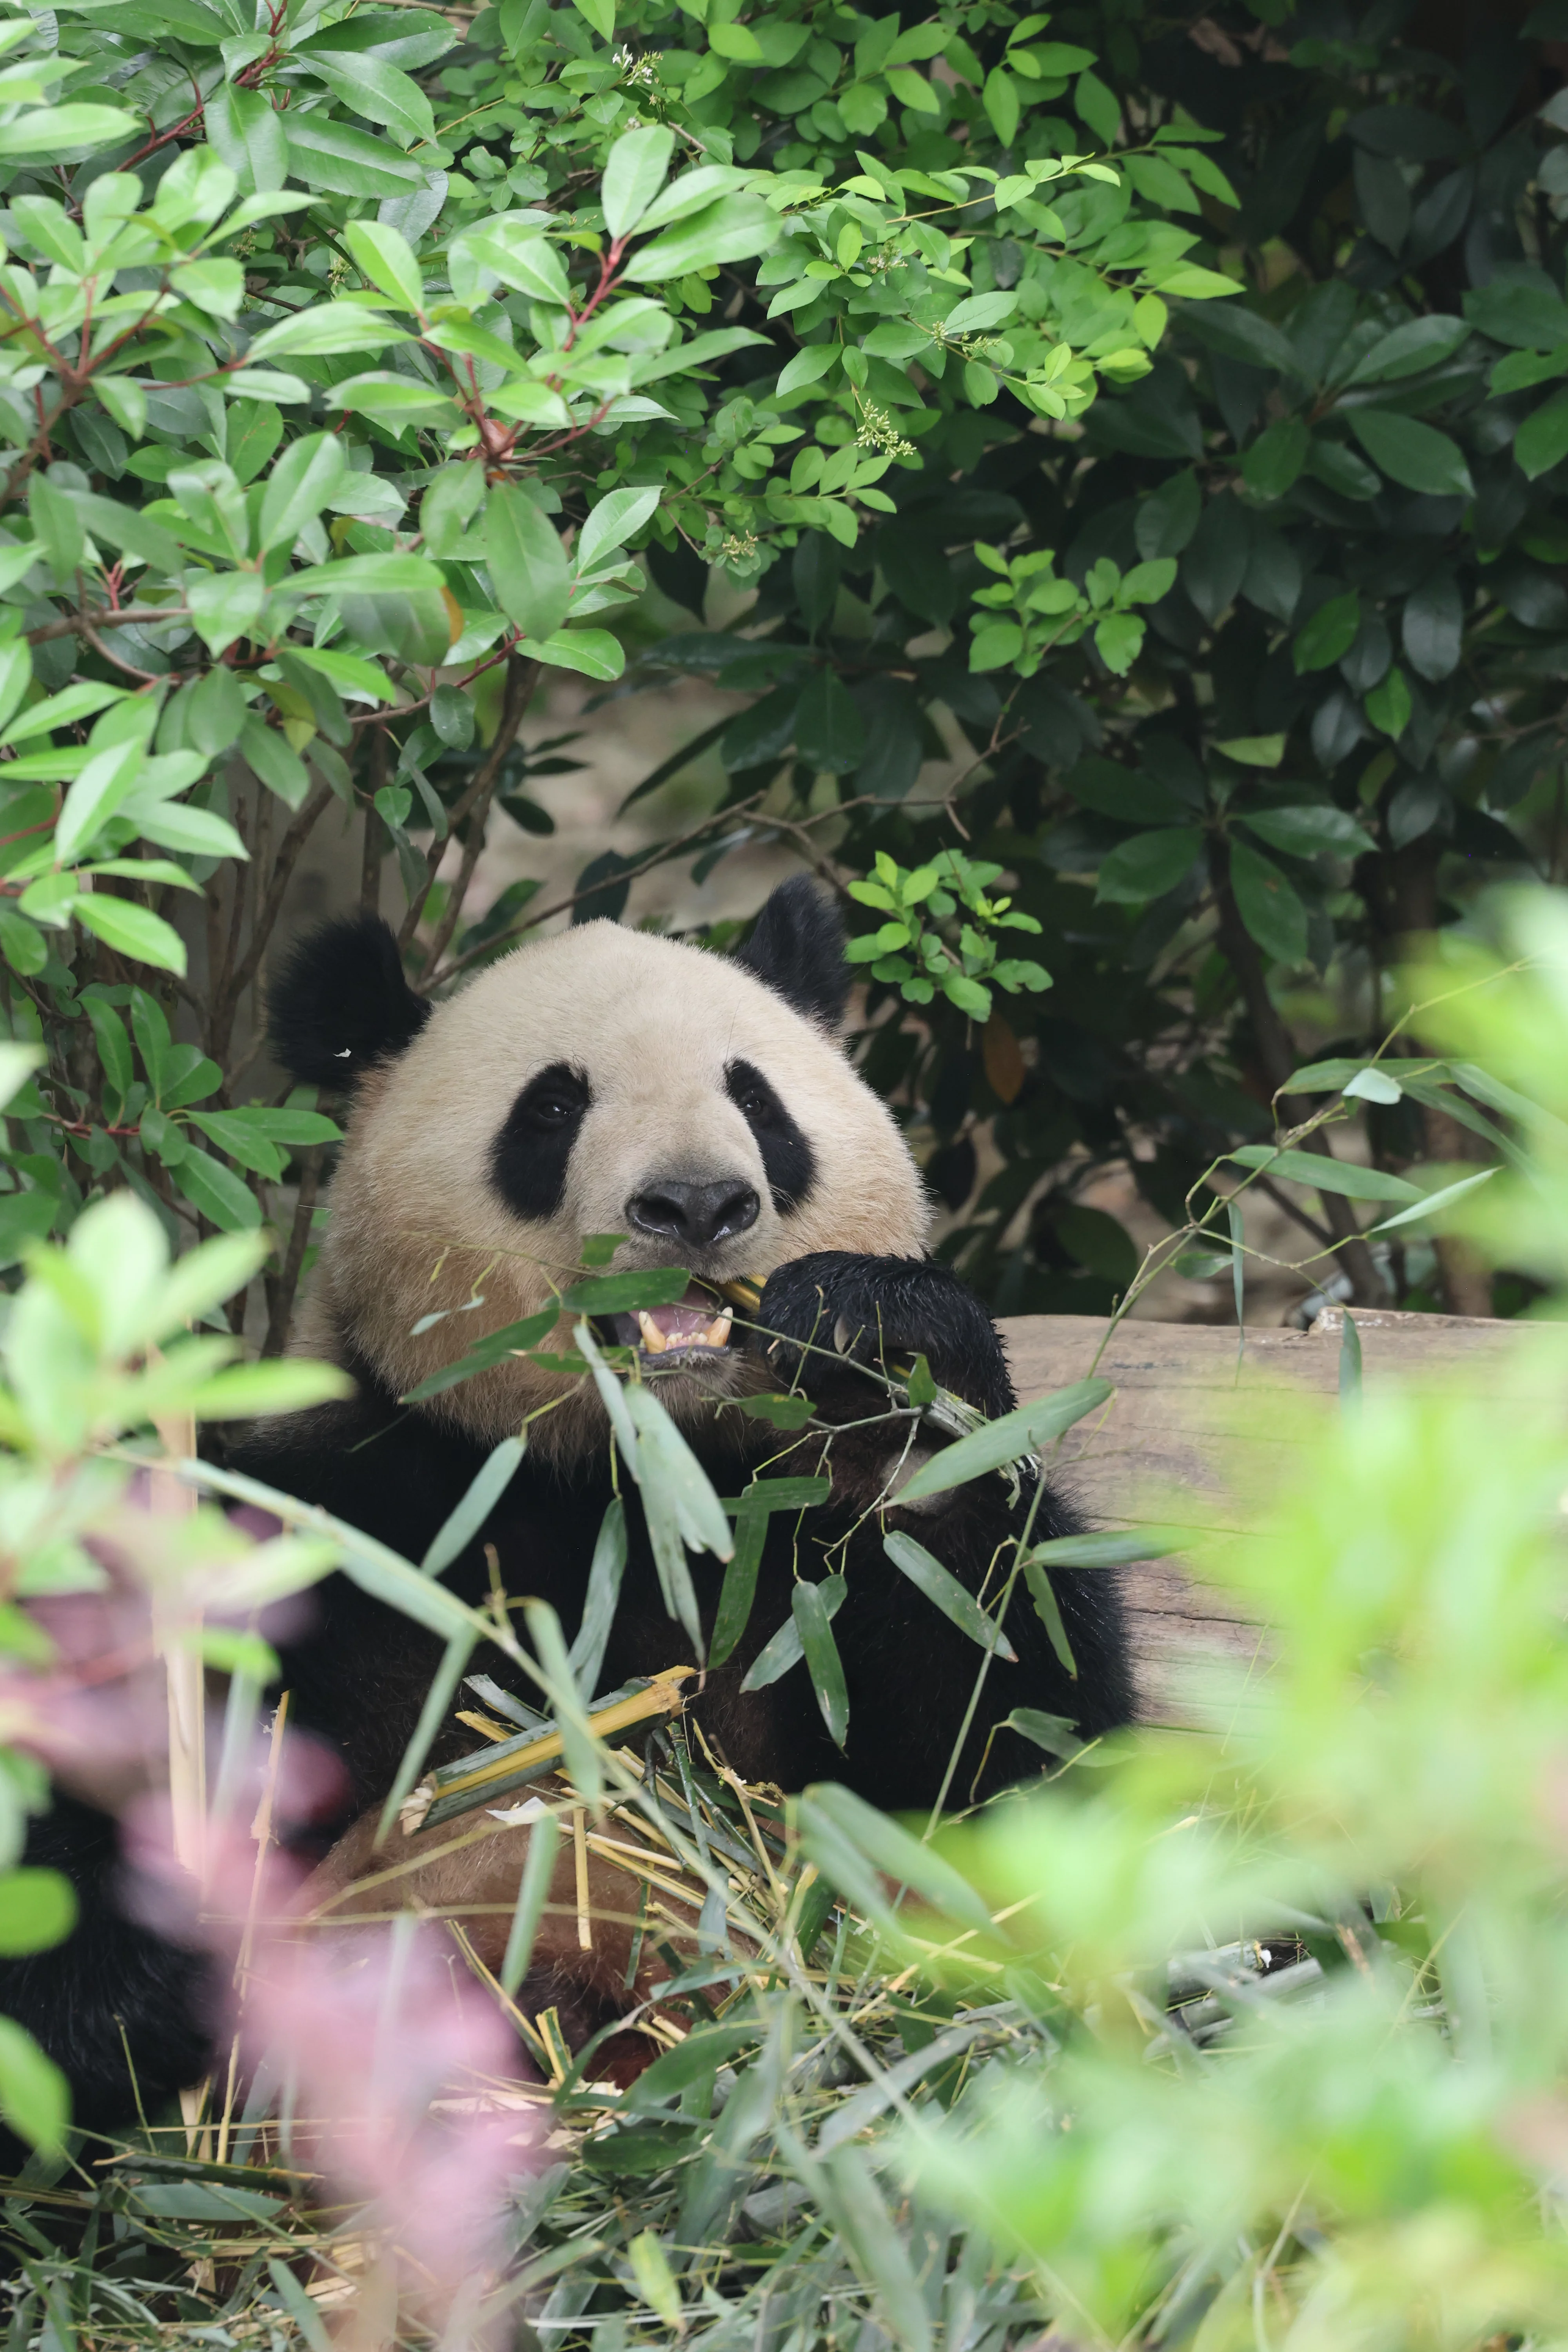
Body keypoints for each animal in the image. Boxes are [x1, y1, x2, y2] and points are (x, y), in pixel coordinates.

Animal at [0, 876, 1132, 2144]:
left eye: (758, 1100)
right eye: (550, 1106)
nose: (697, 1202)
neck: (626, 1477)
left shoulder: (784, 1552)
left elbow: (1006, 1757)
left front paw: (880, 1351)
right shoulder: (354, 1517)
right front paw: (145, 1979)